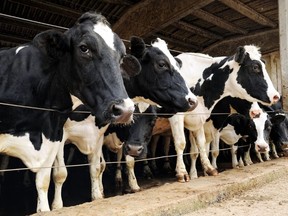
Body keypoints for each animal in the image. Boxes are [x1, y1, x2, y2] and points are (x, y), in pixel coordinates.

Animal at [0, 11, 141, 212]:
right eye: (84, 48)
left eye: (121, 57)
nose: (125, 110)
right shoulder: (61, 136)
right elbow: (60, 174)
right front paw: (58, 206)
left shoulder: (58, 135)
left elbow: (90, 169)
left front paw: (97, 196)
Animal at [50, 36, 198, 208]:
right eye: (161, 64)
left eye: (153, 120)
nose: (192, 100)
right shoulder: (60, 136)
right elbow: (61, 173)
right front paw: (56, 206)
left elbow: (107, 165)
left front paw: (130, 186)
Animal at [168, 46, 280, 181]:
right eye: (255, 67)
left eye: (269, 127)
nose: (276, 96)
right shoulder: (182, 117)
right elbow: (186, 146)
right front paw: (188, 174)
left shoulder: (204, 121)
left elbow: (207, 146)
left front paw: (209, 169)